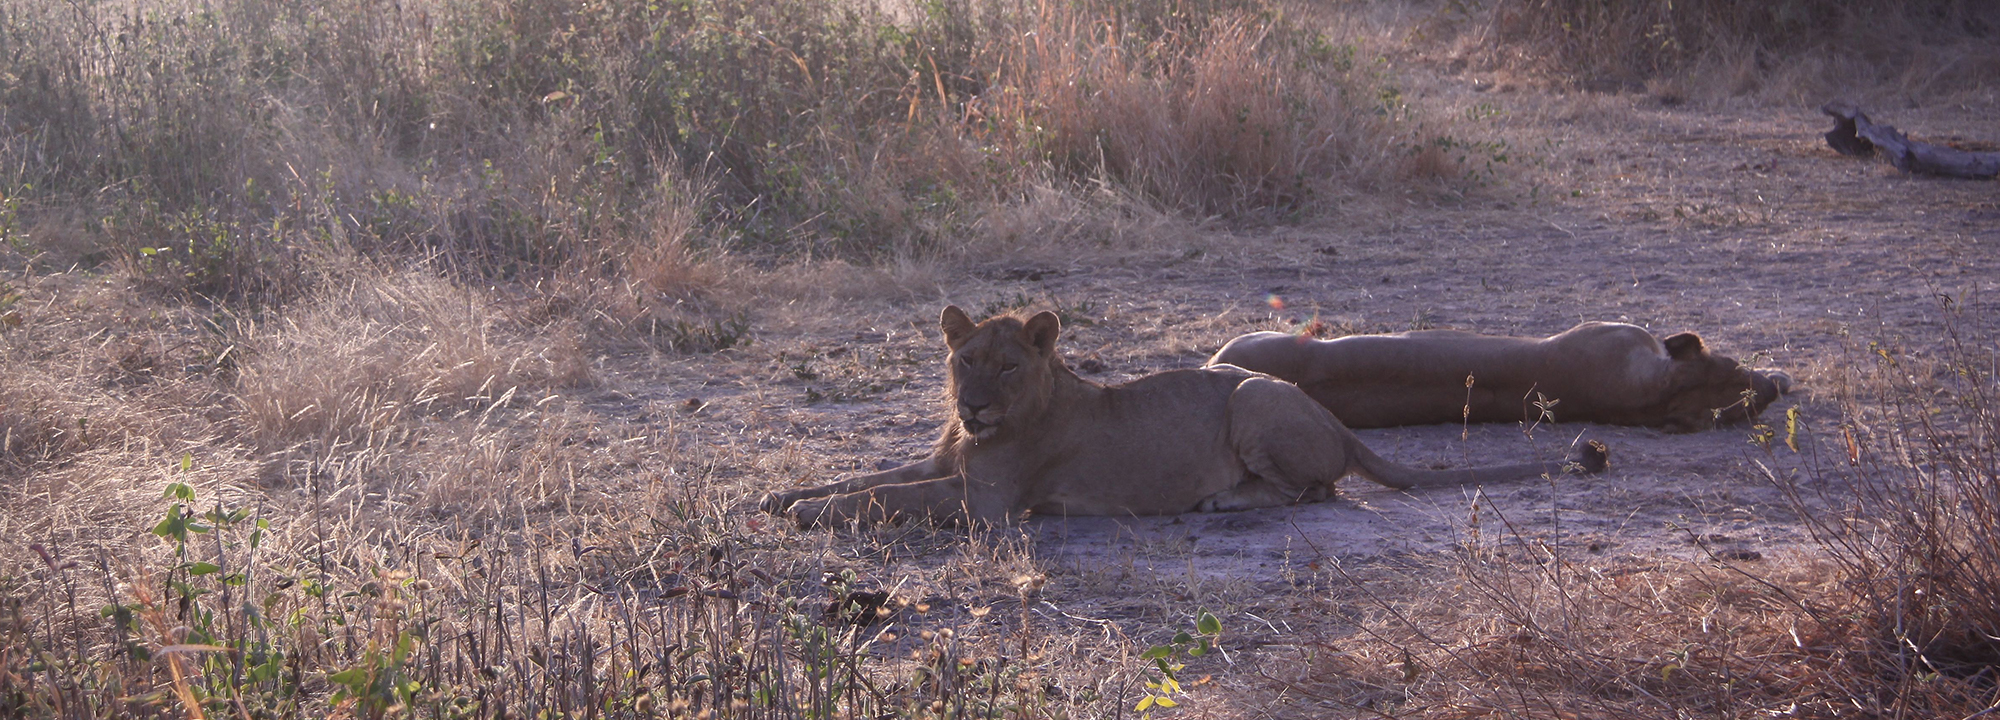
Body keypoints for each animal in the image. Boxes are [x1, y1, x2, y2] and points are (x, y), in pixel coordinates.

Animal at [752, 306, 1608, 528]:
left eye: (1008, 366)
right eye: (966, 361)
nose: (974, 405)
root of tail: (1336, 421)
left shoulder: (986, 504)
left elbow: (883, 497)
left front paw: (807, 515)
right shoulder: (943, 465)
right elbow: (866, 475)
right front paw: (782, 495)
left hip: (1255, 396)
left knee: (1314, 492)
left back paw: (1222, 501)